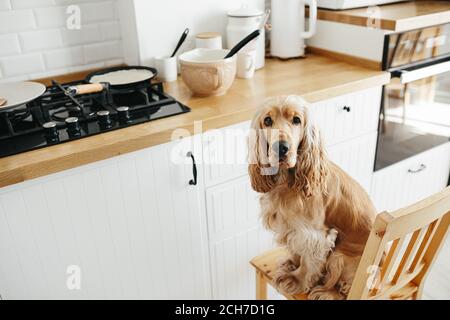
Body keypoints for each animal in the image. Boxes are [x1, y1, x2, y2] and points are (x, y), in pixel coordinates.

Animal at [248, 95, 378, 300]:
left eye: (296, 120)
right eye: (267, 121)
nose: (281, 148)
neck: (287, 182)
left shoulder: (316, 236)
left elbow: (308, 262)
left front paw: (296, 279)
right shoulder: (291, 229)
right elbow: (296, 250)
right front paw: (292, 263)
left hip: (340, 257)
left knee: (346, 287)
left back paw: (326, 292)